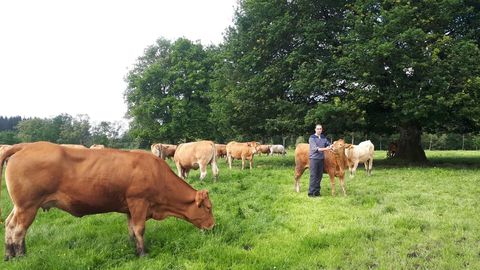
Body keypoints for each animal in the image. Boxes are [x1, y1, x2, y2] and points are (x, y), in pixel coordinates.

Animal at [0, 141, 214, 260]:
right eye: (208, 208)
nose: (213, 226)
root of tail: (27, 145)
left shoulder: (130, 208)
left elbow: (131, 230)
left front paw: (133, 247)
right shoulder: (138, 202)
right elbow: (140, 229)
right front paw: (143, 253)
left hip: (19, 206)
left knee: (9, 225)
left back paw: (9, 255)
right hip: (28, 206)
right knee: (18, 230)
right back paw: (21, 256)